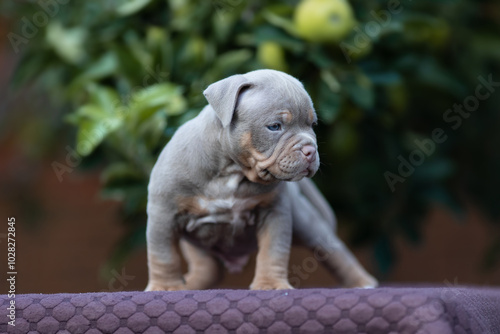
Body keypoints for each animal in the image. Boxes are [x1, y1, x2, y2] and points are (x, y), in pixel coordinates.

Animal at [146, 68, 376, 290]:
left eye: (312, 124)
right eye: (274, 126)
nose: (310, 150)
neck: (231, 171)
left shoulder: (274, 211)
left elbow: (273, 251)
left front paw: (270, 284)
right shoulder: (163, 214)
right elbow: (163, 255)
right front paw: (165, 287)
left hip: (307, 223)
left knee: (335, 251)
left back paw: (363, 282)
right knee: (207, 267)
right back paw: (191, 284)